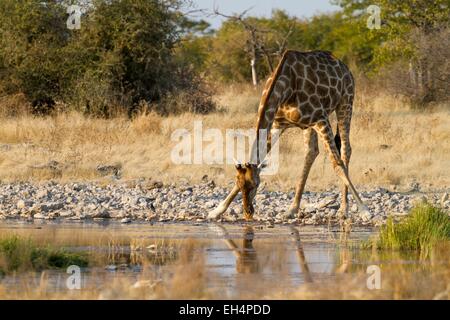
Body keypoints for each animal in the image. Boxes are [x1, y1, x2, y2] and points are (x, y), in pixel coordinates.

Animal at [207, 48, 370, 221]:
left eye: (255, 184)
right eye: (239, 184)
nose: (247, 213)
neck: (286, 87)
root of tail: (345, 67)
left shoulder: (321, 119)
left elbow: (336, 163)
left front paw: (364, 210)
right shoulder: (278, 125)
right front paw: (216, 211)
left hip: (345, 102)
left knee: (345, 149)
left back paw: (343, 209)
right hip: (308, 125)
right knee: (311, 152)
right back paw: (292, 209)